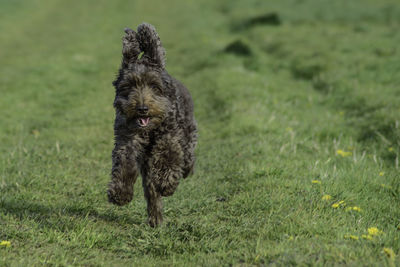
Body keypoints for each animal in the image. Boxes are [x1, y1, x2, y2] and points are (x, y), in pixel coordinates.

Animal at [107, 23, 198, 228]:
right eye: (129, 86)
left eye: (154, 86)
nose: (142, 108)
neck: (148, 131)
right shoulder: (126, 140)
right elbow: (124, 165)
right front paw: (120, 193)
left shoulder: (170, 136)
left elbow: (168, 155)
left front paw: (167, 183)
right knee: (151, 191)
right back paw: (155, 219)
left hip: (188, 135)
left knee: (187, 158)